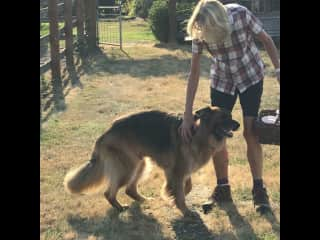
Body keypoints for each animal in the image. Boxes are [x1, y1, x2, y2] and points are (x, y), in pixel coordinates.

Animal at [63, 106, 239, 216]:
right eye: (224, 117)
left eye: (230, 116)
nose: (238, 124)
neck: (199, 132)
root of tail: (106, 132)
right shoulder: (177, 171)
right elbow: (180, 192)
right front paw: (183, 209)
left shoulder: (182, 170)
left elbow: (186, 186)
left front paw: (171, 196)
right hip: (128, 168)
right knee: (109, 193)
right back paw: (120, 208)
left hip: (141, 164)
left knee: (130, 189)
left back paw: (144, 200)